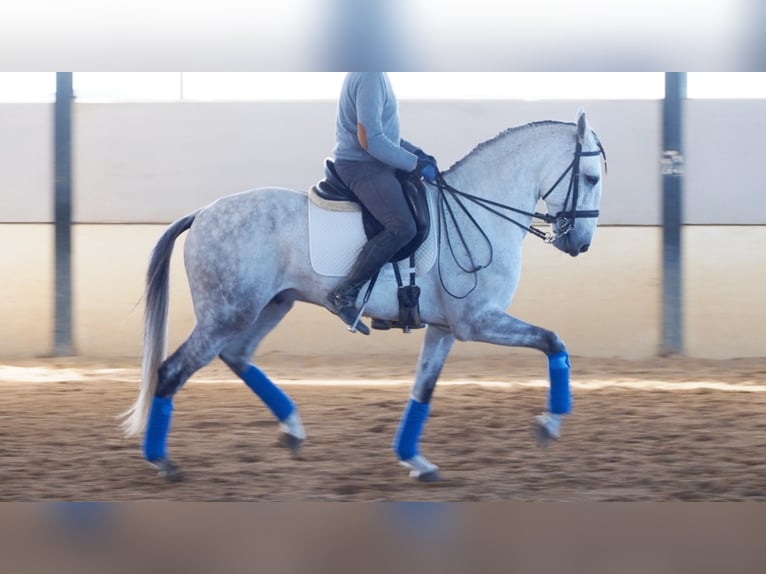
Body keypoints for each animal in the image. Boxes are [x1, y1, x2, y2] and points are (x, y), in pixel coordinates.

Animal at [123, 110, 608, 484]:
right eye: (590, 176)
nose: (581, 243)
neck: (479, 212)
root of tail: (203, 213)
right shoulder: (478, 321)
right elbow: (553, 341)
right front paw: (550, 424)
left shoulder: (445, 328)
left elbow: (422, 391)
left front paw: (416, 461)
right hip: (226, 313)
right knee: (171, 372)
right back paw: (162, 462)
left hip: (271, 305)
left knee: (237, 357)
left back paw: (292, 430)